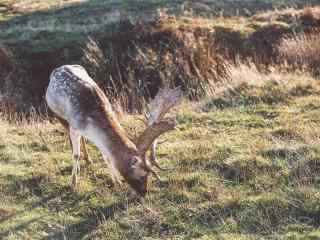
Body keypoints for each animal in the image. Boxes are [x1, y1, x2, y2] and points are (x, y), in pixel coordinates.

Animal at [45, 64, 181, 196]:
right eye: (142, 175)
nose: (144, 192)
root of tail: (58, 69)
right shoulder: (74, 126)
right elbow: (76, 155)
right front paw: (73, 184)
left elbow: (106, 156)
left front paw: (117, 182)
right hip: (60, 116)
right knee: (70, 137)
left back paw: (88, 160)